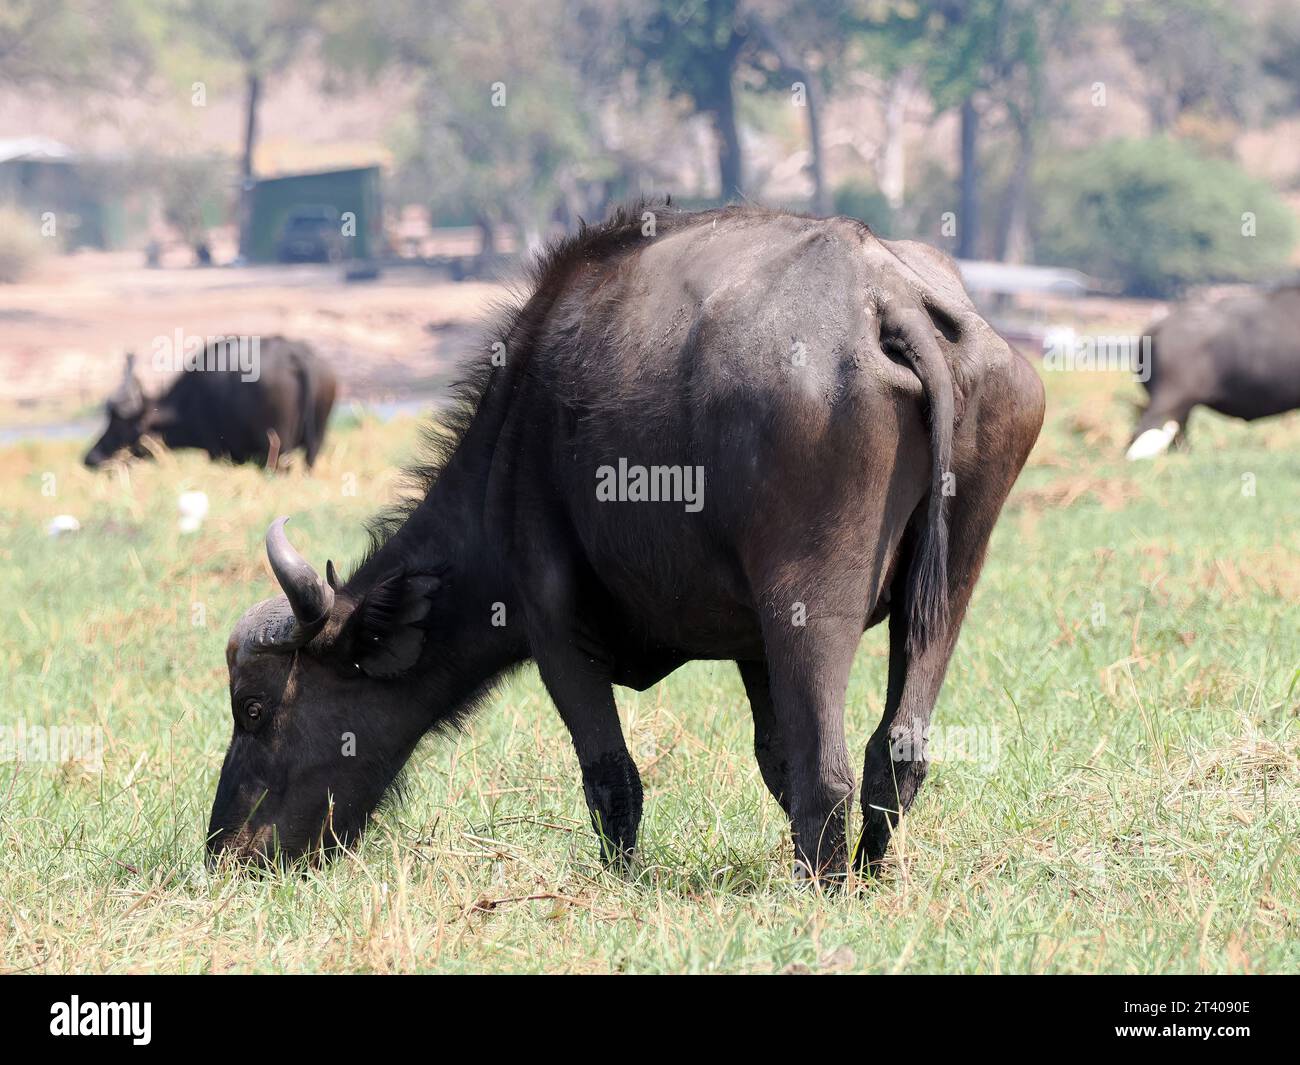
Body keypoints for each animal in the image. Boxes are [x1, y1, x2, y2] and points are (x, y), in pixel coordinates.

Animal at [82, 340, 335, 473]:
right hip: (315, 441)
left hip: (278, 449)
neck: (191, 399)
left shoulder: (218, 452)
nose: (91, 458)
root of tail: (294, 355)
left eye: (122, 425)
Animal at [205, 200, 1045, 884]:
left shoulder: (553, 631)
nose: (226, 851)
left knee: (828, 772)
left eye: (255, 709)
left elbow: (611, 773)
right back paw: (867, 872)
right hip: (948, 583)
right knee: (895, 750)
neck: (517, 433)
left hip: (808, 604)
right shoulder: (751, 646)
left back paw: (824, 885)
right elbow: (770, 757)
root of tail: (887, 297)